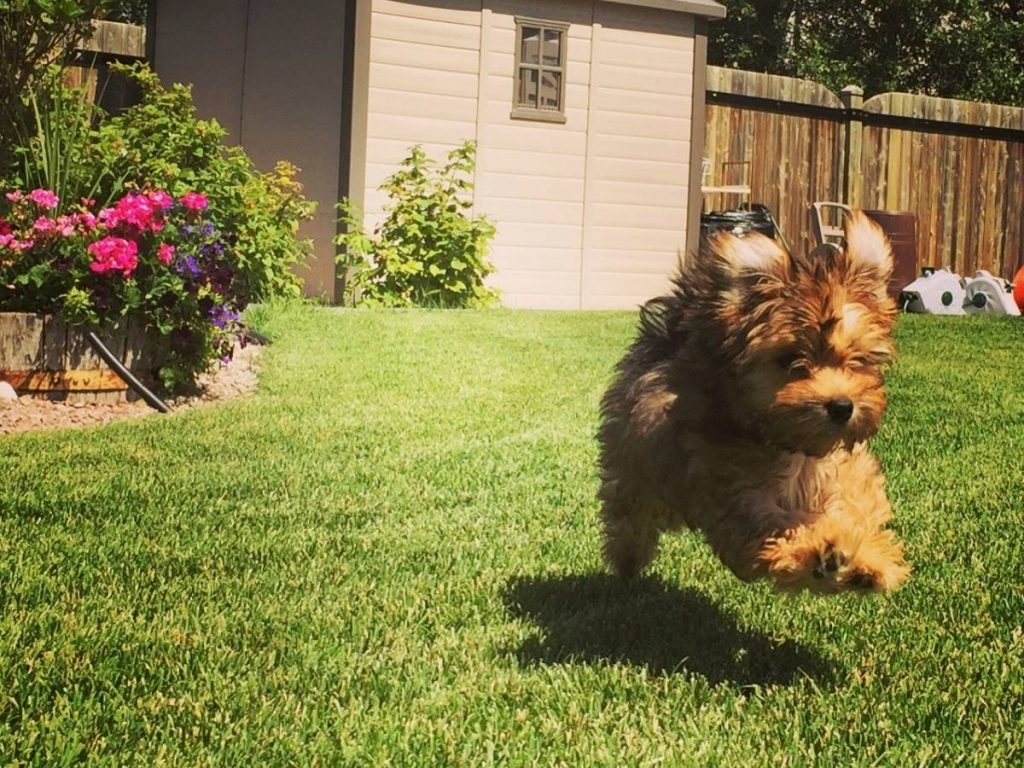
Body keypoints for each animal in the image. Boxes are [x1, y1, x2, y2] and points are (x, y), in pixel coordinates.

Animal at [598, 211, 913, 593]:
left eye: (858, 360)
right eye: (790, 359)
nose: (841, 406)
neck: (794, 447)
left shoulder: (845, 471)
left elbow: (855, 505)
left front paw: (867, 559)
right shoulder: (733, 491)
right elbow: (771, 527)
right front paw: (817, 549)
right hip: (636, 469)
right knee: (631, 514)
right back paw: (627, 562)